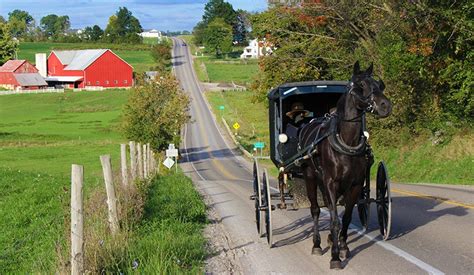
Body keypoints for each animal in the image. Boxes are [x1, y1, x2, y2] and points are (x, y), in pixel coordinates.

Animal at [300, 61, 392, 270]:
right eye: (361, 85)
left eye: (379, 84)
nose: (386, 106)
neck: (346, 143)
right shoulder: (331, 182)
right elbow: (334, 219)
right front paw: (335, 256)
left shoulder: (355, 185)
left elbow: (347, 218)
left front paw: (342, 247)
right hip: (311, 177)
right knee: (316, 209)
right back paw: (317, 244)